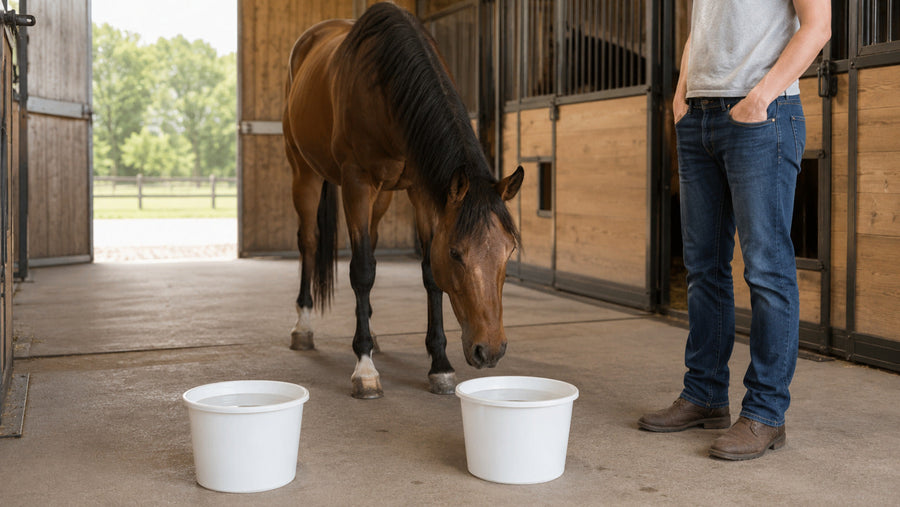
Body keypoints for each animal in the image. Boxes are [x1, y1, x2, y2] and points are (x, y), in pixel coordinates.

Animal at [282, 3, 524, 399]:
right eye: (456, 254)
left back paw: (372, 331)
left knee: (370, 244)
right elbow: (362, 271)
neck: (386, 86)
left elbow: (428, 274)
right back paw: (303, 328)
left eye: (509, 251)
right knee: (310, 243)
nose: (489, 350)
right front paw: (364, 369)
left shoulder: (421, 190)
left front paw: (439, 365)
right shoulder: (357, 182)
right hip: (305, 172)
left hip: (380, 196)